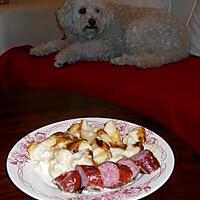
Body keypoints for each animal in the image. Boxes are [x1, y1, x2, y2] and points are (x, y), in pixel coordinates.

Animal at [30, 0, 191, 68]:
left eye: (97, 10)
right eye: (82, 10)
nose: (92, 21)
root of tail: (183, 46)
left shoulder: (105, 47)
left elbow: (78, 49)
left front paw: (63, 57)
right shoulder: (71, 39)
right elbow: (56, 43)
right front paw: (39, 49)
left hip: (137, 31)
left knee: (140, 57)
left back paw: (122, 60)